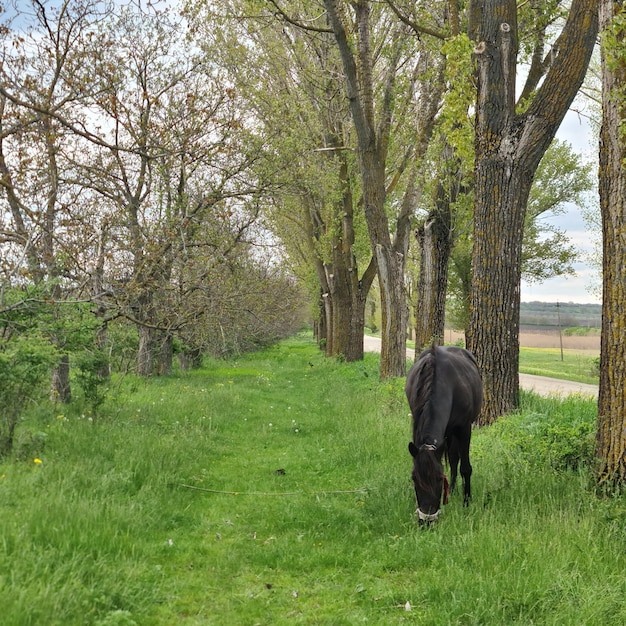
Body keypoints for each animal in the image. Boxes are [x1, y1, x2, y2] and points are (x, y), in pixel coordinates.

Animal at [404, 342, 482, 520]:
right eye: (414, 478)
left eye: (439, 479)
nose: (426, 520)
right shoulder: (416, 424)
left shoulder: (464, 428)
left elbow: (465, 467)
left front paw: (467, 502)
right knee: (453, 458)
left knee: (455, 459)